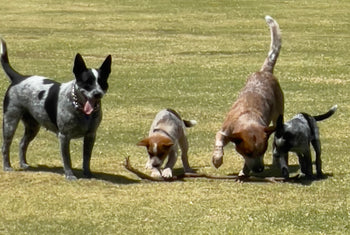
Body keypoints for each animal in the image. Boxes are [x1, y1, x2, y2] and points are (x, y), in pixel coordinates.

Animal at [0, 38, 111, 180]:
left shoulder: (91, 135)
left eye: (102, 82)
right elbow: (67, 159)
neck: (80, 110)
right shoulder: (64, 136)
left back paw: (23, 163)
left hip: (33, 126)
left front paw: (88, 174)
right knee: (5, 146)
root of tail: (18, 77)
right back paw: (7, 166)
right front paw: (70, 175)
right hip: (10, 121)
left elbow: (87, 158)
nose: (97, 94)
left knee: (22, 143)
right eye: (87, 82)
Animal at [211, 16, 284, 178]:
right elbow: (219, 140)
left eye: (263, 151)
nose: (259, 169)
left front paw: (244, 172)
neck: (248, 118)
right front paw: (217, 159)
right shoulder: (225, 130)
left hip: (279, 114)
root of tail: (265, 72)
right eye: (248, 152)